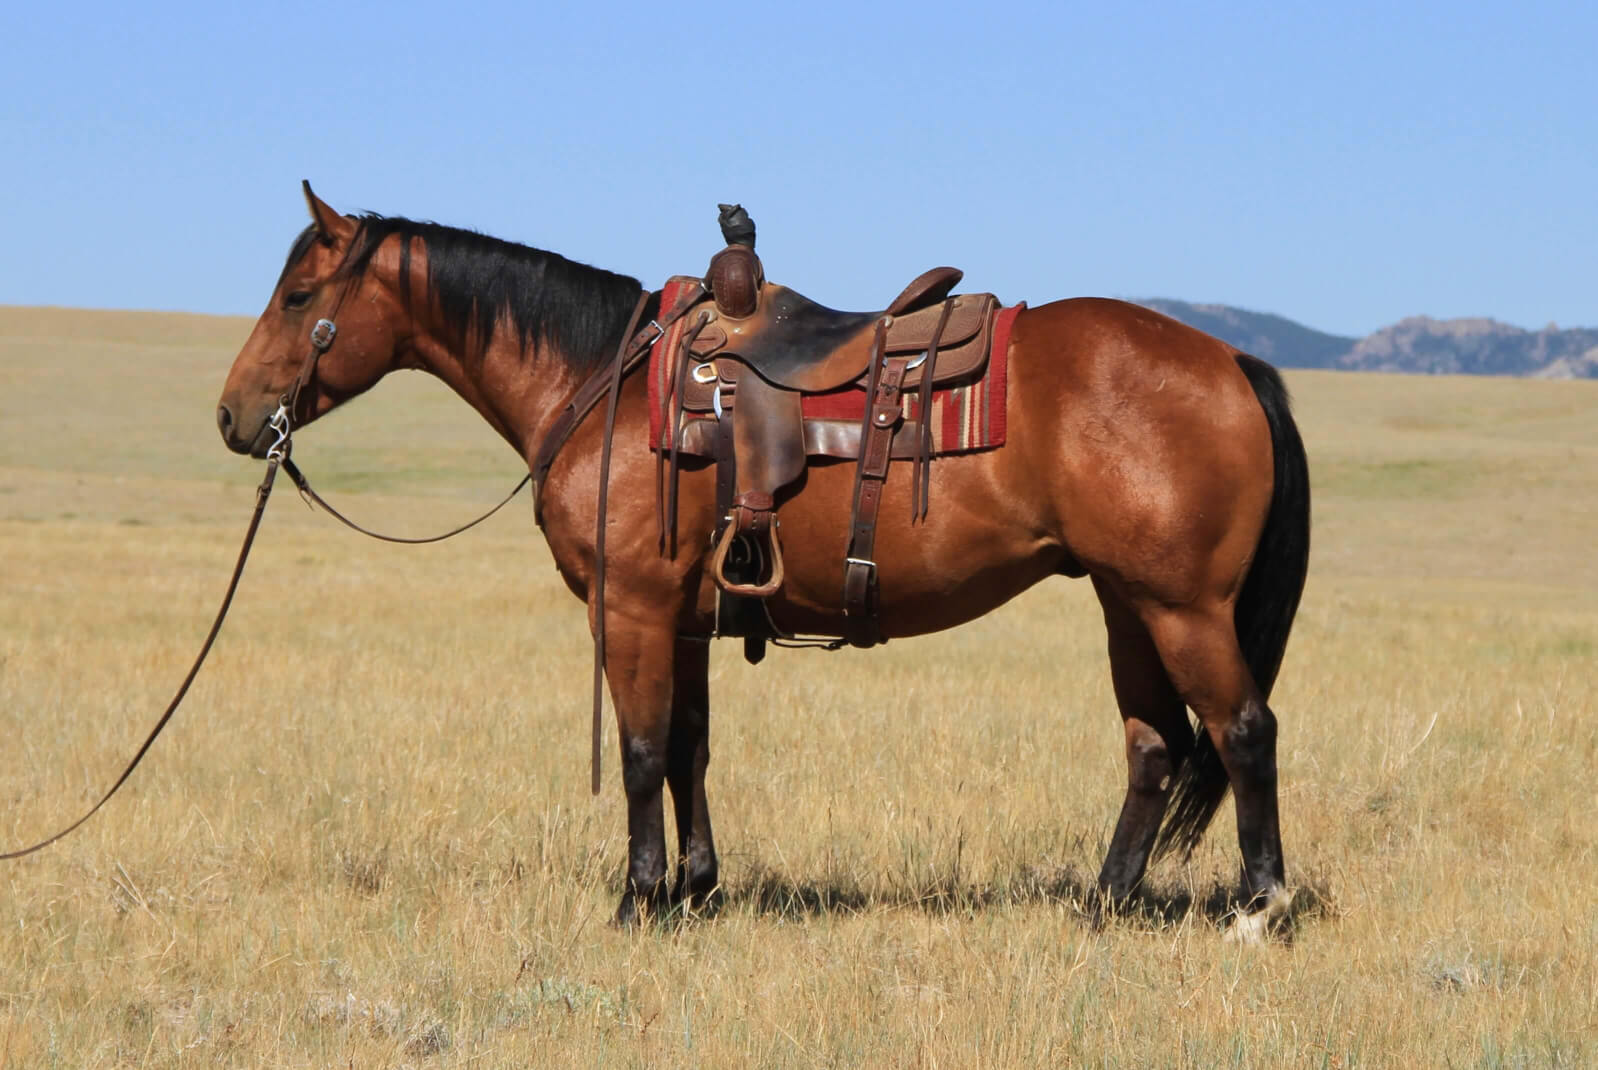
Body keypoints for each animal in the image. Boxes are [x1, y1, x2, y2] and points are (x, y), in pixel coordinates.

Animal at [217, 184, 1310, 939]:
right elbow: (689, 748)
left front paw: (637, 901)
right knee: (1154, 746)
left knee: (1242, 729)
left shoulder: (631, 610)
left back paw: (1258, 907)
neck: (599, 381)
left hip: (1181, 606)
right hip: (1129, 604)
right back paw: (1101, 903)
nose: (232, 416)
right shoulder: (684, 619)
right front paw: (697, 890)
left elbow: (640, 749)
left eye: (300, 295)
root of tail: (1229, 360)